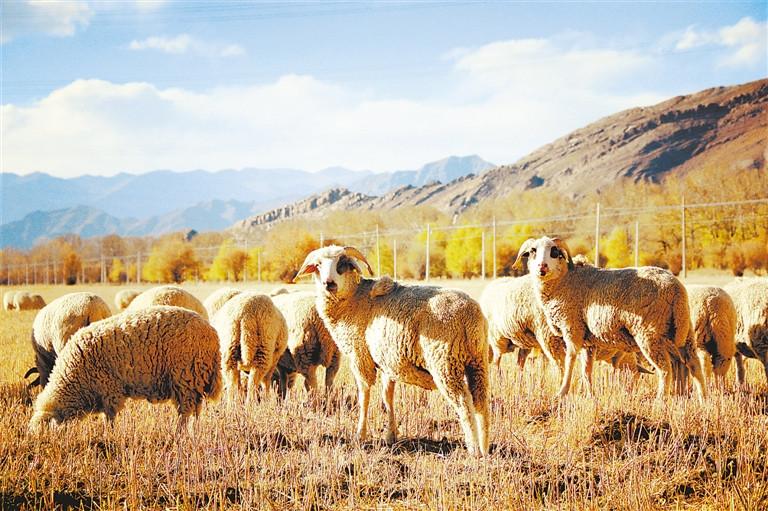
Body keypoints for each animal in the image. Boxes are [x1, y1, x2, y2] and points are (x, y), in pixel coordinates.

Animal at [29, 306, 221, 433]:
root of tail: (212, 333)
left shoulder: (108, 388)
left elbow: (109, 415)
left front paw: (109, 433)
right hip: (195, 379)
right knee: (196, 408)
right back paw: (194, 430)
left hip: (185, 377)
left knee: (186, 410)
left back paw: (179, 432)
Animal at [296, 245, 490, 456]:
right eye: (318, 265)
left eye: (342, 263)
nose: (328, 284)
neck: (352, 299)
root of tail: (470, 315)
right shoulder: (388, 362)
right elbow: (387, 397)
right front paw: (391, 435)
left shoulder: (359, 356)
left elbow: (364, 396)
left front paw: (360, 435)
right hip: (478, 361)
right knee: (481, 401)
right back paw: (484, 447)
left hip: (445, 363)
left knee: (464, 403)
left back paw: (474, 450)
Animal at [513, 236, 706, 402]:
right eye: (532, 251)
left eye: (554, 251)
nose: (542, 267)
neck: (565, 280)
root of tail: (676, 288)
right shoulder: (588, 341)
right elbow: (587, 370)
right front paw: (589, 395)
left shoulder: (572, 326)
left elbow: (570, 360)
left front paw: (562, 392)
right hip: (682, 329)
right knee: (694, 364)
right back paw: (703, 400)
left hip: (649, 332)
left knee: (665, 369)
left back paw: (660, 401)